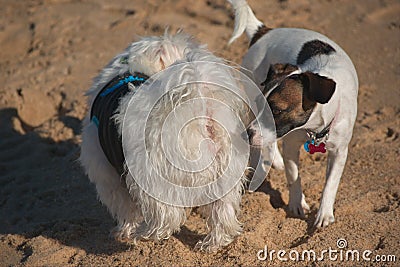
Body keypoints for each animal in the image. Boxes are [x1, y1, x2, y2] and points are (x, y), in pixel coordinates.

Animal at [79, 32, 252, 252]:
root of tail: (201, 108)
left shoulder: (108, 177)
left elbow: (125, 208)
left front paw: (123, 231)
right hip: (225, 173)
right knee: (222, 213)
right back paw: (212, 243)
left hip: (153, 175)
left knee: (166, 217)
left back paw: (145, 234)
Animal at [228, 0, 360, 228]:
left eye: (277, 110)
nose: (247, 134)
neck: (315, 128)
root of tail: (263, 31)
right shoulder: (290, 144)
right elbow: (294, 175)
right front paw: (297, 203)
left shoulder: (340, 151)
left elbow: (331, 183)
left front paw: (324, 214)